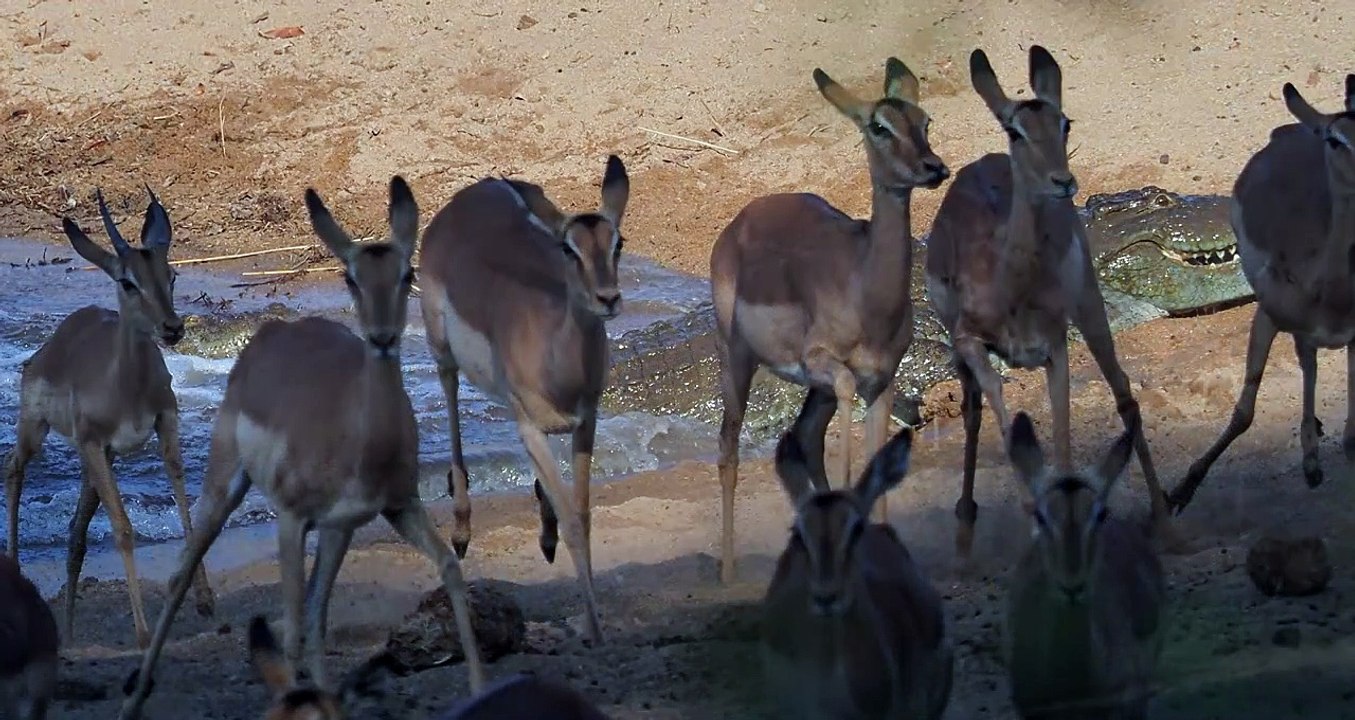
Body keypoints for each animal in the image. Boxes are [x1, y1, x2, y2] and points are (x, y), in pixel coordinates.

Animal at [3, 187, 213, 649]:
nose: (172, 328)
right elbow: (123, 529)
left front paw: (205, 600)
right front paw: (143, 631)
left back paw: (68, 630)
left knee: (76, 533)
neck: (127, 388)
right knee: (13, 467)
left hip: (98, 460)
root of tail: (48, 349)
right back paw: (16, 571)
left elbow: (185, 506)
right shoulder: (93, 443)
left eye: (171, 274)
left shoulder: (165, 424)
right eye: (128, 281)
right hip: (39, 433)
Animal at [118, 176, 486, 720]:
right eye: (350, 277)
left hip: (335, 531)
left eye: (408, 273)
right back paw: (134, 698)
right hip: (226, 485)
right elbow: (290, 631)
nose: (382, 337)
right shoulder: (293, 520)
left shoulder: (387, 510)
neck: (361, 439)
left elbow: (449, 568)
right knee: (183, 572)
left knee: (315, 614)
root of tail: (272, 334)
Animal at [419, 155, 630, 645]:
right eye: (569, 249)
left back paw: (543, 531)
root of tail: (470, 195)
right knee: (449, 387)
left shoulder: (586, 423)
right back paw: (462, 528)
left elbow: (583, 515)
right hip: (440, 347)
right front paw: (594, 629)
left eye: (618, 242)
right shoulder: (529, 429)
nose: (608, 299)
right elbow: (573, 522)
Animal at [711, 57, 950, 584]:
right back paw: (728, 573)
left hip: (805, 389)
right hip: (737, 359)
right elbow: (846, 426)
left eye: (925, 121)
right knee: (728, 446)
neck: (865, 292)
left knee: (799, 439)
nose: (934, 168)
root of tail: (742, 219)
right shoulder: (825, 366)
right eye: (879, 127)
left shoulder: (882, 381)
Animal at [924, 45, 1171, 562]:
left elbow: (1061, 435)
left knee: (1124, 395)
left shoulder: (1056, 345)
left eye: (1065, 123)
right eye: (1014, 129)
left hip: (1090, 307)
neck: (1010, 289)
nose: (1063, 181)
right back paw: (964, 535)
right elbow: (1003, 421)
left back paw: (1167, 527)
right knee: (973, 414)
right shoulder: (971, 344)